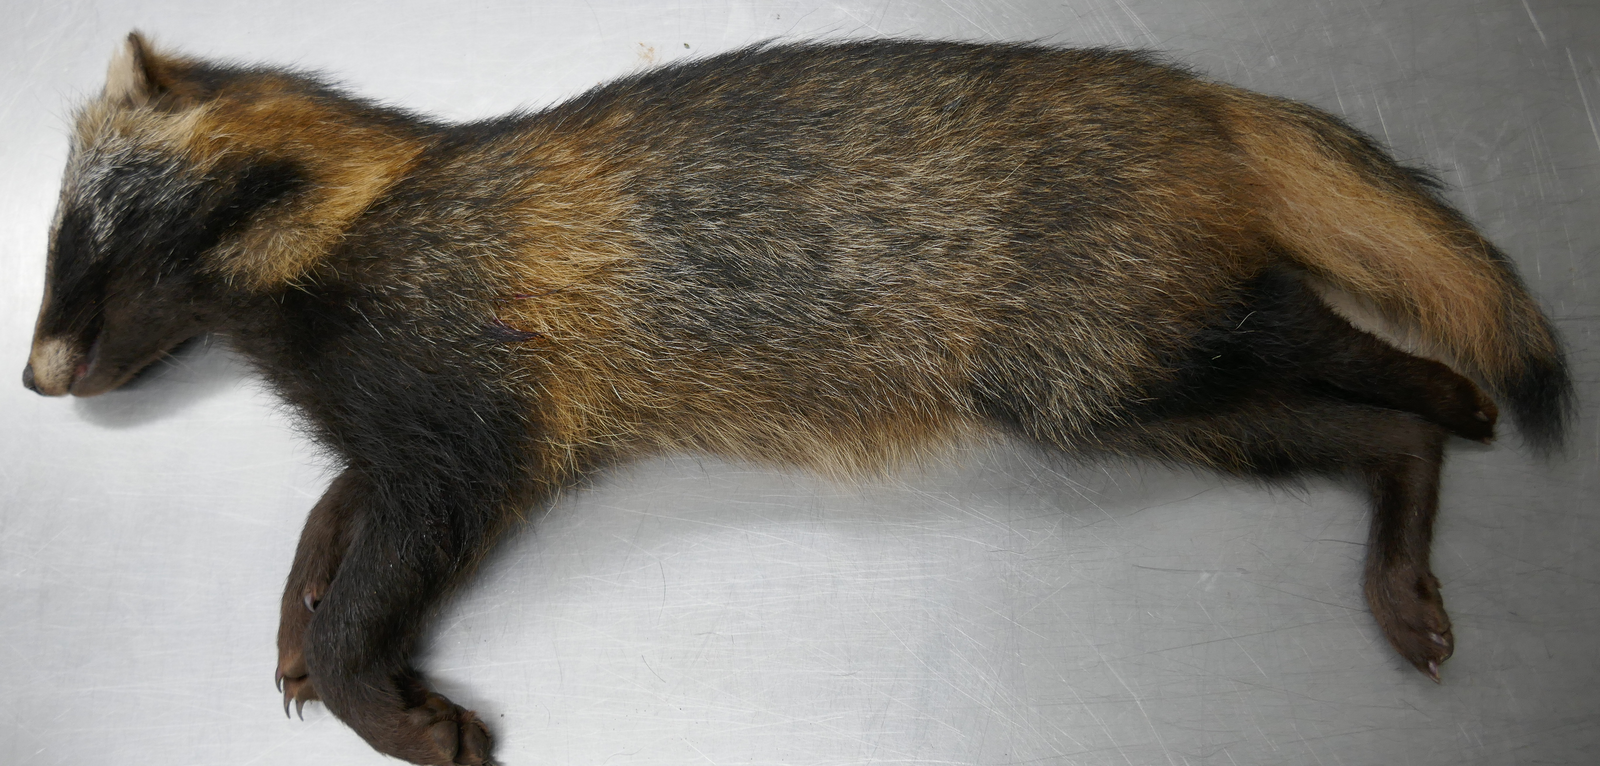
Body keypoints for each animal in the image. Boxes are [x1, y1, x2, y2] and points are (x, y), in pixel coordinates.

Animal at [23, 32, 1571, 766]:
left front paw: (395, 707)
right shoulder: (406, 434)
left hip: (1118, 357)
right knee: (1354, 411)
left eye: (82, 228)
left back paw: (1443, 413)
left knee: (1343, 350)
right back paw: (1422, 491)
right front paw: (293, 632)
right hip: (1153, 391)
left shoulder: (466, 420)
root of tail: (1197, 101)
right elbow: (328, 520)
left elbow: (368, 574)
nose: (39, 370)